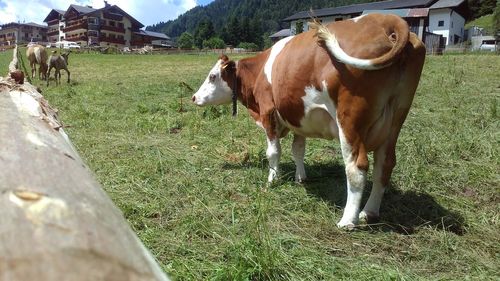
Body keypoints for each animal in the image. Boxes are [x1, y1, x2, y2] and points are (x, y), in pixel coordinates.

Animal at [191, 13, 426, 228]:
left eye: (212, 76)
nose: (193, 97)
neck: (259, 72)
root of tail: (386, 18)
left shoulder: (268, 112)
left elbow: (273, 152)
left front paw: (272, 179)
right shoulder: (298, 119)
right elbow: (298, 150)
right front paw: (300, 177)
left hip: (349, 121)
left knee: (356, 168)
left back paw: (348, 221)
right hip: (395, 119)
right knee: (384, 165)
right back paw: (369, 212)